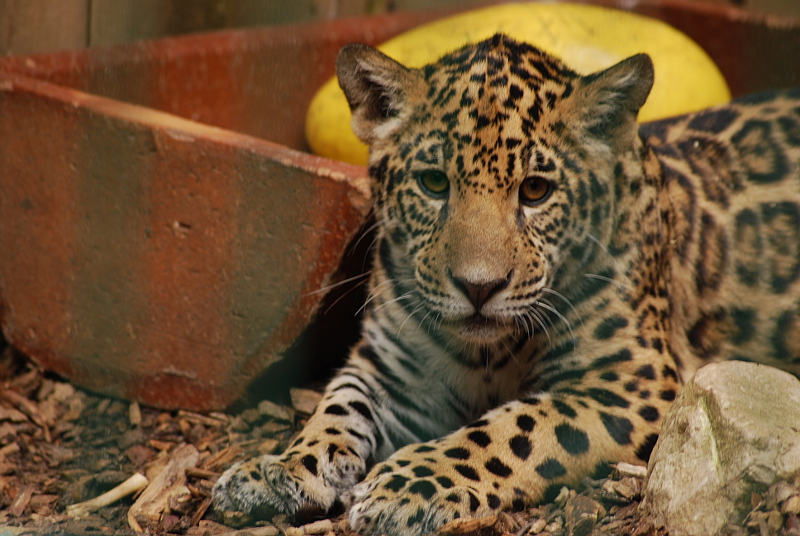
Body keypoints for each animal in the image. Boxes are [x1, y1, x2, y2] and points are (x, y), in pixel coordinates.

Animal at [213, 33, 800, 536]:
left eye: (536, 190)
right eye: (433, 183)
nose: (479, 288)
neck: (489, 355)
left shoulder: (632, 378)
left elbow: (516, 428)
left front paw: (406, 488)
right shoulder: (392, 370)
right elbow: (336, 406)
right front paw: (278, 469)